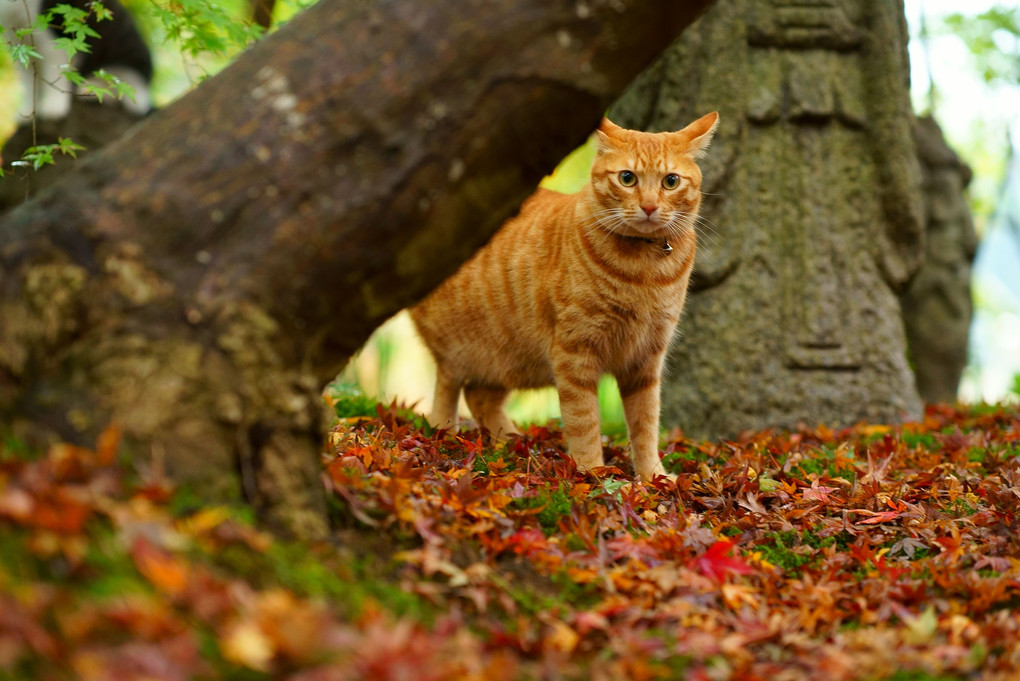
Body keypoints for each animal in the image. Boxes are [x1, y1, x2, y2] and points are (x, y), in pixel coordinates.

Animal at [408, 113, 718, 479]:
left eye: (670, 181)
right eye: (627, 178)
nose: (649, 206)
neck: (644, 271)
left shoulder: (645, 360)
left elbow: (646, 424)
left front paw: (652, 476)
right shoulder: (575, 353)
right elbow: (584, 421)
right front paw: (593, 472)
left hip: (509, 360)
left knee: (479, 395)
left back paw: (514, 444)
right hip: (460, 351)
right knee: (447, 389)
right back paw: (448, 434)